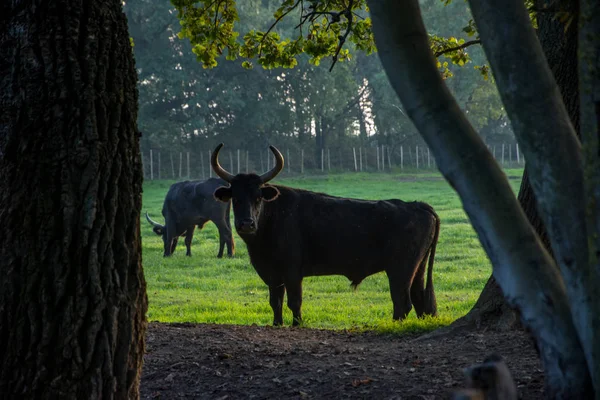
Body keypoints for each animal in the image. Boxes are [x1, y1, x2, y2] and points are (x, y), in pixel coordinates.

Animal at [211, 143, 440, 324]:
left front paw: (297, 325)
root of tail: (417, 205)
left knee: (402, 302)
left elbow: (295, 302)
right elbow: (275, 303)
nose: (246, 224)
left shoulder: (292, 272)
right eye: (236, 198)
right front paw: (277, 324)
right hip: (417, 270)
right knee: (420, 300)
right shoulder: (272, 275)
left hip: (400, 270)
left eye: (258, 197)